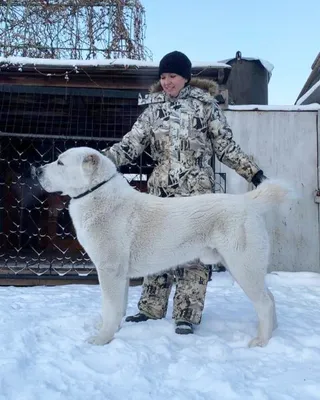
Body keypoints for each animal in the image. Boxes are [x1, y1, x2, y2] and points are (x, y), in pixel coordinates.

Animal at [34, 146, 290, 346]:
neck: (97, 194)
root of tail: (247, 201)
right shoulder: (120, 275)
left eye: (60, 162)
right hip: (242, 267)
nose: (36, 170)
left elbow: (109, 307)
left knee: (264, 302)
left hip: (243, 266)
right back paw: (273, 332)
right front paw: (114, 329)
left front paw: (101, 339)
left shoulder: (109, 270)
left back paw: (261, 341)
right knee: (270, 297)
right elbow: (118, 307)